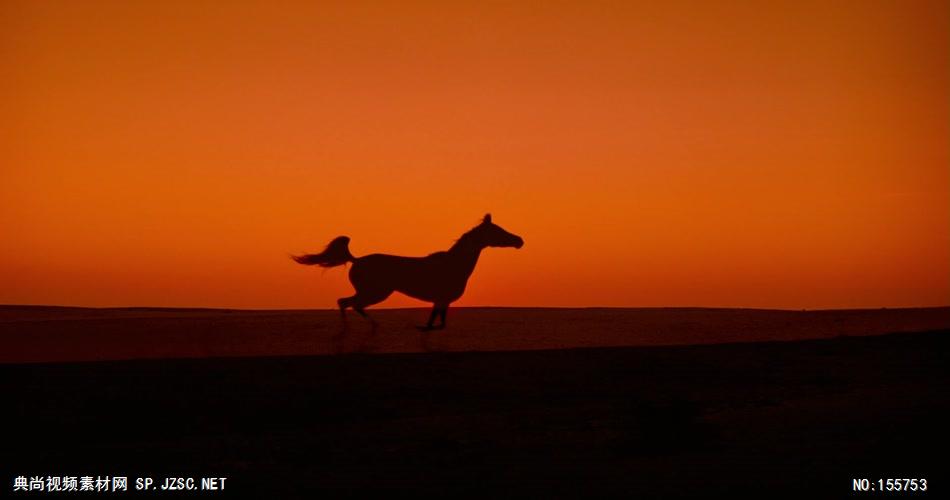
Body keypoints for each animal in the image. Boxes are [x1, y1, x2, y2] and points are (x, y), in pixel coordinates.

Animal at [294, 213, 524, 330]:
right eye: (498, 231)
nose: (519, 241)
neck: (455, 264)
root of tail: (356, 259)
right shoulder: (441, 298)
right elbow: (434, 322)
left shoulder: (442, 300)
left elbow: (438, 320)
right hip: (375, 292)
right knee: (349, 303)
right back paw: (366, 325)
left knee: (347, 303)